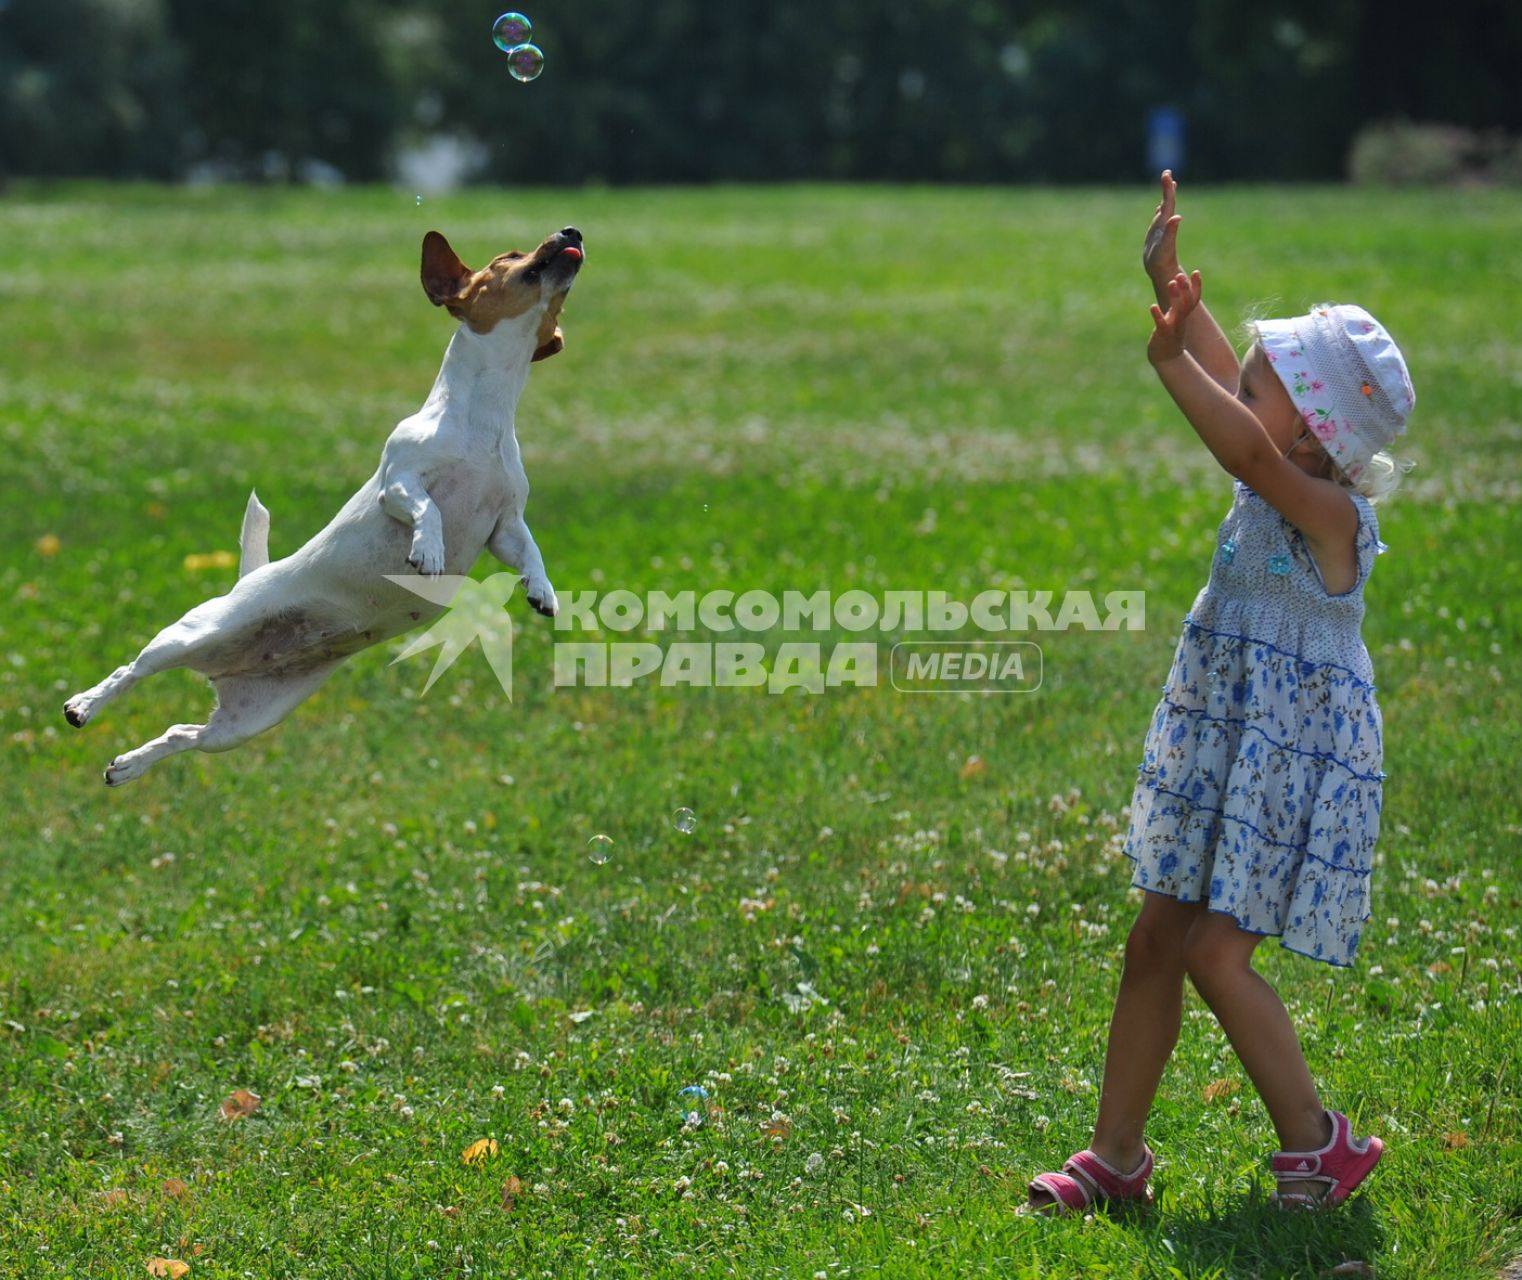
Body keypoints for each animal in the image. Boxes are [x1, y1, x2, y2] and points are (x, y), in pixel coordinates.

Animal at [63, 225, 581, 785]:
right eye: (510, 256)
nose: (572, 231)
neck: (485, 417)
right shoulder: (399, 483)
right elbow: (428, 508)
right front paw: (430, 550)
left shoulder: (505, 523)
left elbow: (529, 552)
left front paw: (542, 591)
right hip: (189, 636)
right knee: (131, 671)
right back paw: (84, 706)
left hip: (251, 718)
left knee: (187, 734)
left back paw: (128, 766)